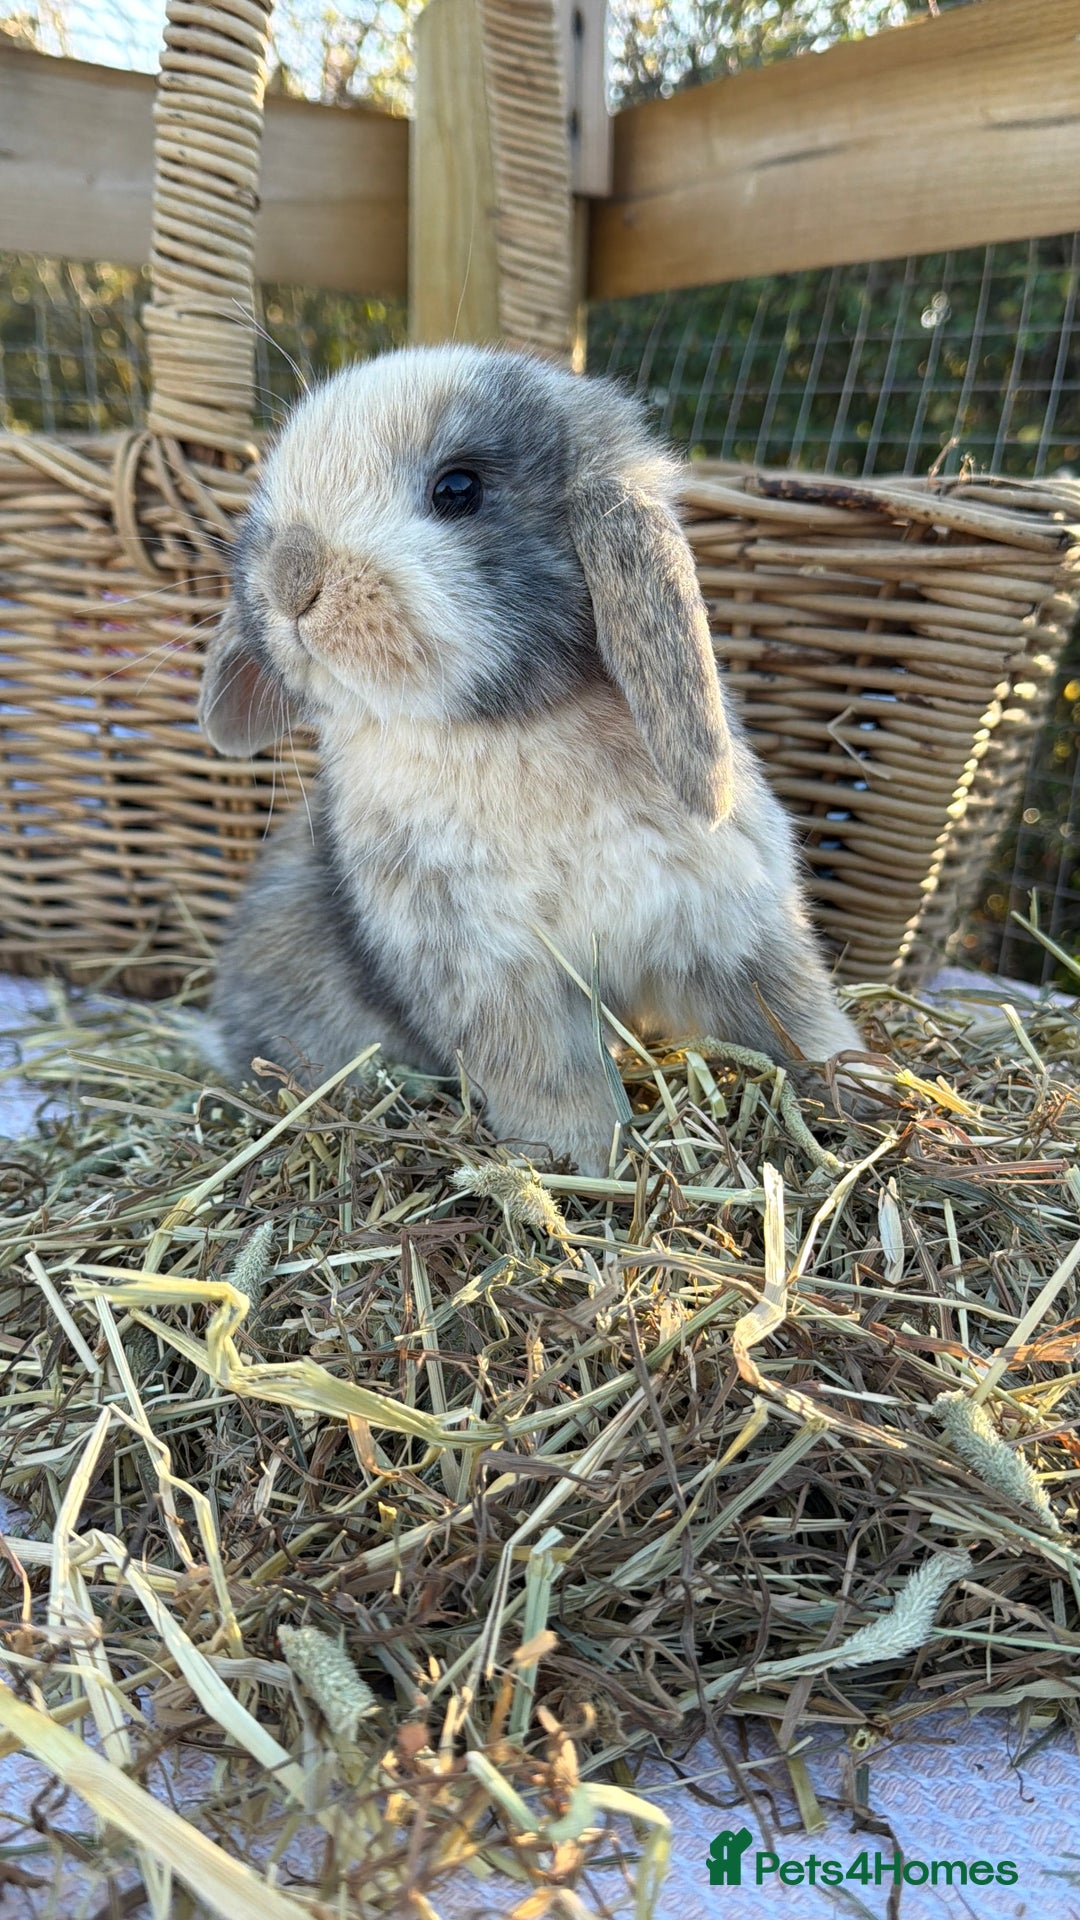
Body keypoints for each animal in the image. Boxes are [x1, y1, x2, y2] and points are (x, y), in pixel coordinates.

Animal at [198, 344, 864, 1175]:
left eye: (459, 489)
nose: (289, 575)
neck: (502, 730)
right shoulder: (496, 981)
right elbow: (552, 1080)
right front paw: (582, 1165)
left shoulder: (738, 931)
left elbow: (799, 1021)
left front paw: (869, 1092)